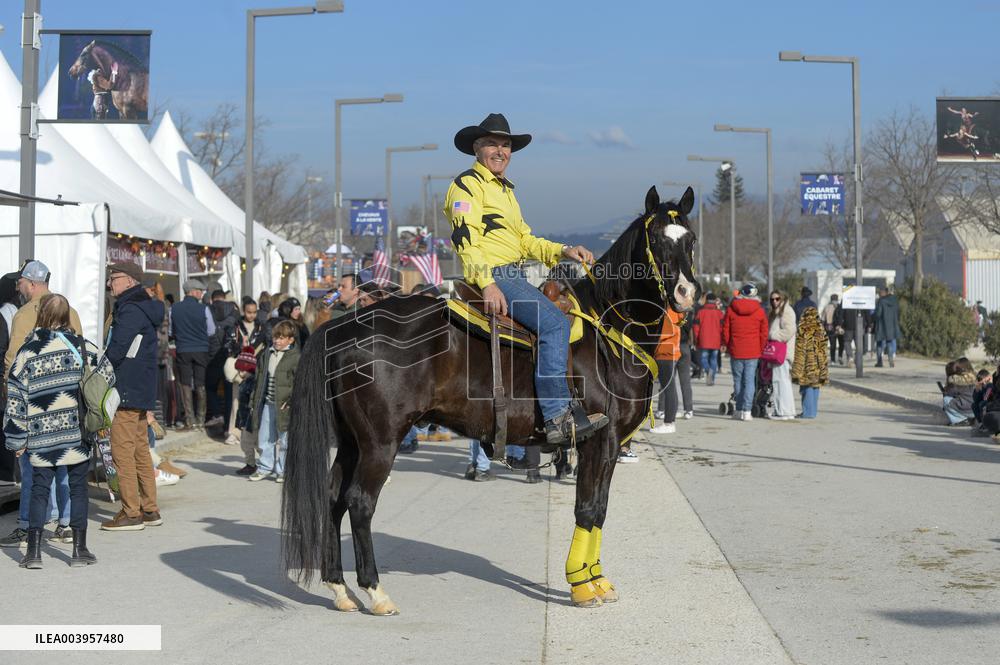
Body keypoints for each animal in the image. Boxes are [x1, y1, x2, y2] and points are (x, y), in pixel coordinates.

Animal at [282, 185, 700, 615]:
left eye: (690, 240)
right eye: (656, 240)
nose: (686, 293)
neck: (610, 330)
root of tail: (342, 326)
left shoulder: (605, 445)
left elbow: (598, 509)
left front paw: (596, 579)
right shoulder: (601, 440)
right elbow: (589, 508)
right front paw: (582, 585)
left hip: (352, 441)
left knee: (333, 499)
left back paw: (339, 588)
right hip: (380, 442)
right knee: (360, 502)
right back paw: (376, 591)